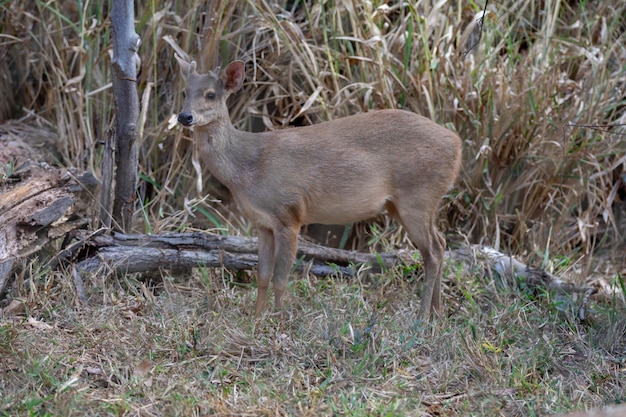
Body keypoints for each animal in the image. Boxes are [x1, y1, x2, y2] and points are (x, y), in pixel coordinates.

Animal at [173, 55, 460, 320]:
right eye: (185, 91)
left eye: (211, 94)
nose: (184, 116)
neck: (248, 167)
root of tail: (457, 146)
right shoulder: (262, 223)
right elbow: (262, 275)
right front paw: (256, 318)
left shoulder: (289, 213)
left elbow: (280, 278)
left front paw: (278, 321)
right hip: (402, 204)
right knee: (440, 243)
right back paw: (437, 313)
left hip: (417, 196)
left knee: (434, 251)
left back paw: (422, 317)